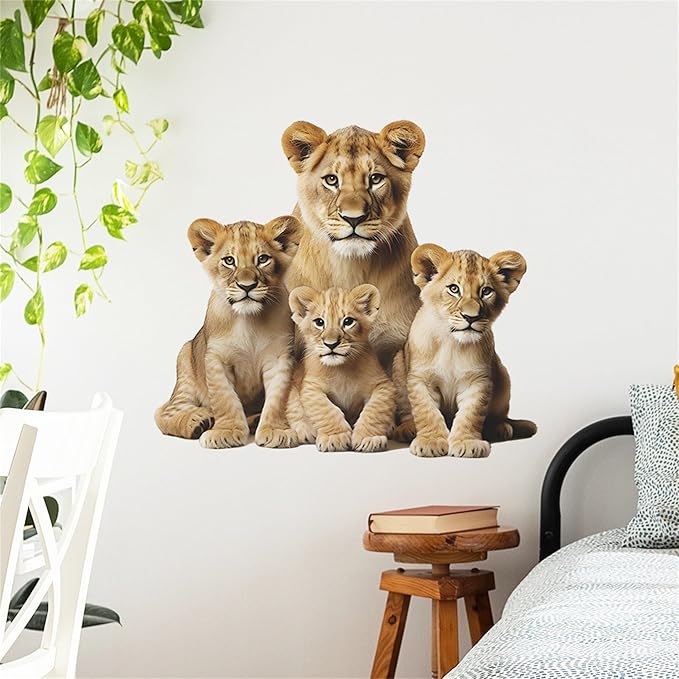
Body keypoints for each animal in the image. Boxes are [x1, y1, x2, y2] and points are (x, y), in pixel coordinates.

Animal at [154, 216, 301, 449]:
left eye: (262, 259)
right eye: (229, 261)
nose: (247, 286)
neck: (249, 321)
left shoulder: (279, 358)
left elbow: (277, 398)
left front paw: (275, 430)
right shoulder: (216, 358)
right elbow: (225, 398)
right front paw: (226, 432)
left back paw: (253, 421)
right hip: (185, 363)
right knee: (164, 412)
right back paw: (197, 421)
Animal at [286, 284, 396, 453]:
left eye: (348, 321)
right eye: (319, 322)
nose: (331, 344)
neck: (341, 369)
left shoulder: (383, 384)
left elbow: (374, 411)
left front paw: (368, 438)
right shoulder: (311, 387)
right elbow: (327, 410)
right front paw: (335, 438)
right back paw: (307, 430)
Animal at [403, 245, 537, 458]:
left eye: (486, 291)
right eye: (454, 289)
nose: (471, 317)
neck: (451, 342)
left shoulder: (478, 380)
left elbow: (470, 415)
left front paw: (467, 443)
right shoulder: (420, 379)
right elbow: (427, 411)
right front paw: (430, 442)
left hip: (503, 375)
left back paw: (500, 428)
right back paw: (407, 428)